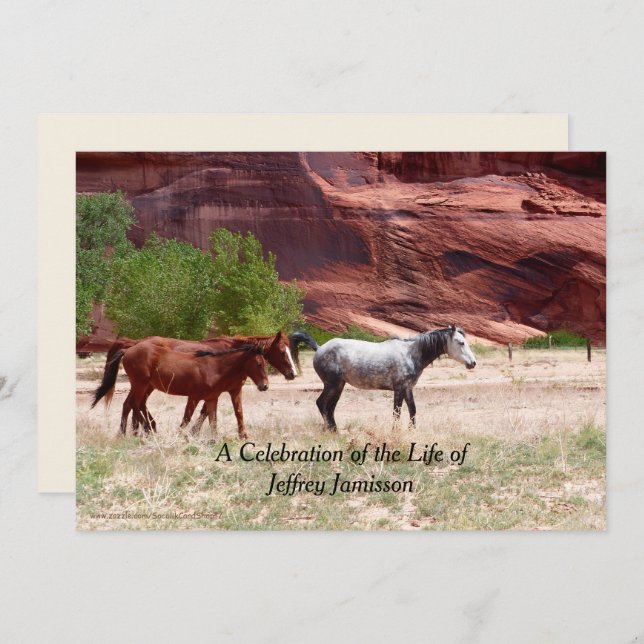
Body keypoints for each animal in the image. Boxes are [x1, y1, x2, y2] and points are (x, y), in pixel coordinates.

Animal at [95, 331, 297, 433]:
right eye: (282, 352)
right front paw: (193, 432)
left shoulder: (228, 391)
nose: (292, 374)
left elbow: (228, 413)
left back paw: (136, 431)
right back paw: (141, 429)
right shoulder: (212, 393)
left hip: (147, 386)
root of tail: (134, 344)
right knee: (134, 404)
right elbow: (204, 413)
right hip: (143, 385)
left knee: (132, 404)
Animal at [290, 324, 476, 430]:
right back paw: (332, 430)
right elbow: (397, 412)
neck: (411, 353)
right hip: (332, 385)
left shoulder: (408, 389)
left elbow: (412, 410)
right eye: (461, 342)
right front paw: (395, 432)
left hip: (339, 386)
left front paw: (412, 431)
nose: (473, 363)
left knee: (330, 408)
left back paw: (334, 430)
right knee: (322, 404)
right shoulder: (399, 389)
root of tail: (319, 348)